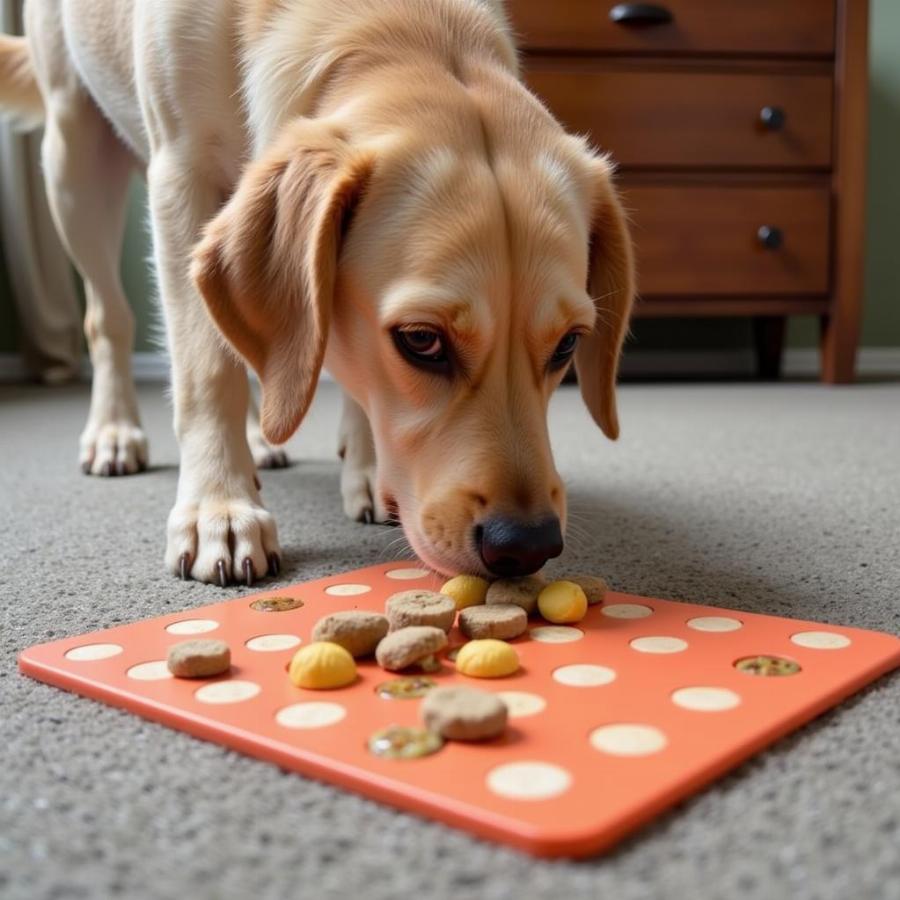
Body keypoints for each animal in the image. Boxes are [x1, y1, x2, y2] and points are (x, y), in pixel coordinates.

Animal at [0, 0, 632, 588]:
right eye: (422, 341)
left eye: (568, 345)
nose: (527, 545)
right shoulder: (180, 177)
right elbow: (207, 370)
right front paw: (219, 507)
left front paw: (365, 469)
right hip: (74, 160)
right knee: (108, 318)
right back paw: (115, 432)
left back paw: (259, 437)